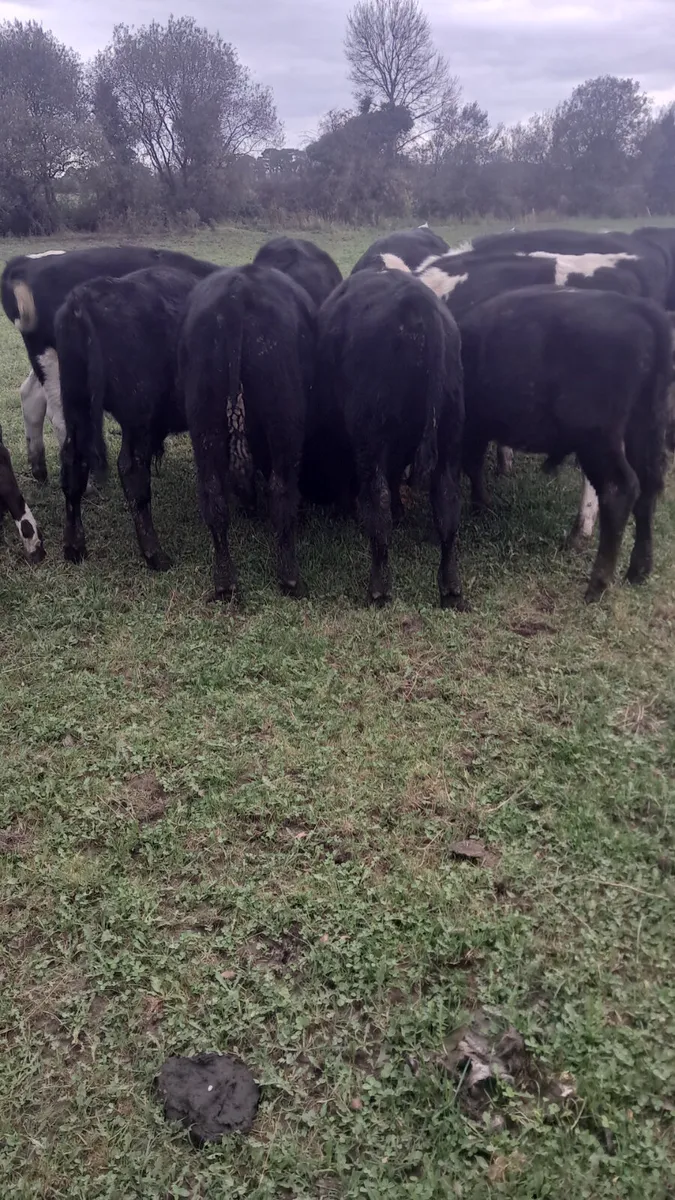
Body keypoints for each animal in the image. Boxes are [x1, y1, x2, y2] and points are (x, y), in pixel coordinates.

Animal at [56, 267, 203, 571]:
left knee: (73, 462)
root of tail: (83, 297)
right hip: (138, 420)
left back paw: (74, 547)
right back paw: (155, 554)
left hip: (77, 409)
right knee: (132, 471)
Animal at [180, 264, 316, 601]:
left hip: (204, 419)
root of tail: (235, 295)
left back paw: (224, 581)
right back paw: (290, 579)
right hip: (284, 418)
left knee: (213, 494)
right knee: (281, 489)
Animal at [302, 269, 466, 609]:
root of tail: (417, 304)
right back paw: (451, 590)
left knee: (377, 500)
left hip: (371, 438)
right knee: (447, 503)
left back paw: (378, 589)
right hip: (450, 436)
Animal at [458, 286, 672, 603]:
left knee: (619, 489)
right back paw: (638, 571)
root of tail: (639, 309)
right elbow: (473, 465)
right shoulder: (476, 428)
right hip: (644, 428)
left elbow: (470, 464)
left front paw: (480, 504)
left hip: (598, 441)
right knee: (648, 490)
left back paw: (597, 585)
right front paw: (481, 505)